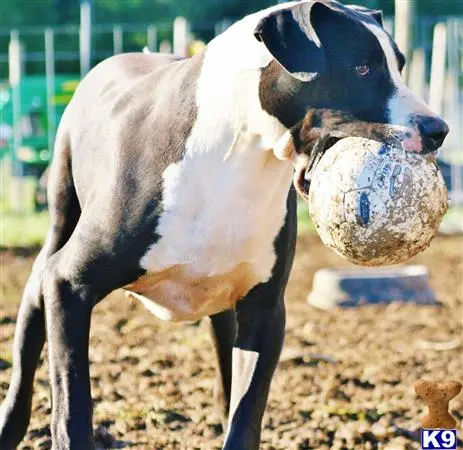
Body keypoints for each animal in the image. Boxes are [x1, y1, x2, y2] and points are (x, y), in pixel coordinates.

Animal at [0, 1, 450, 448]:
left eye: (399, 66)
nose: (439, 129)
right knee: (30, 334)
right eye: (362, 68)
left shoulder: (264, 310)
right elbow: (72, 397)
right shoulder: (69, 284)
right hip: (54, 238)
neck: (238, 155)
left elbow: (246, 410)